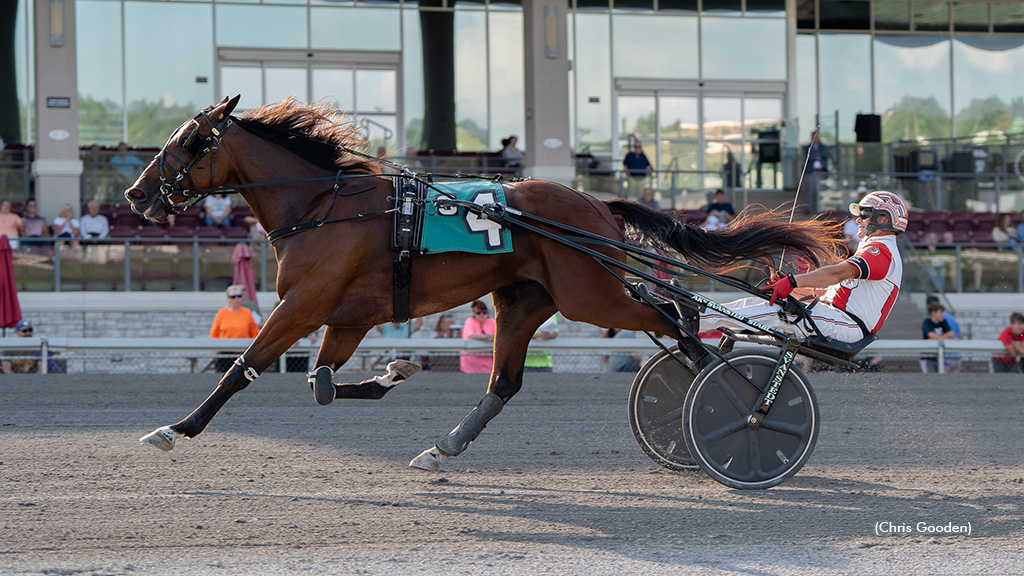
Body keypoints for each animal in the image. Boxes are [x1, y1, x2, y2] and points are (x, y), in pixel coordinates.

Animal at [128, 94, 843, 469]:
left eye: (190, 140)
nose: (136, 194)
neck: (325, 205)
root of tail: (595, 204)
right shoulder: (347, 315)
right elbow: (324, 384)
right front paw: (395, 371)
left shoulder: (303, 305)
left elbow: (242, 368)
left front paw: (176, 428)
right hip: (524, 301)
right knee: (507, 381)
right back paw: (444, 446)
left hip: (588, 295)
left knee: (676, 319)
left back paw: (733, 395)